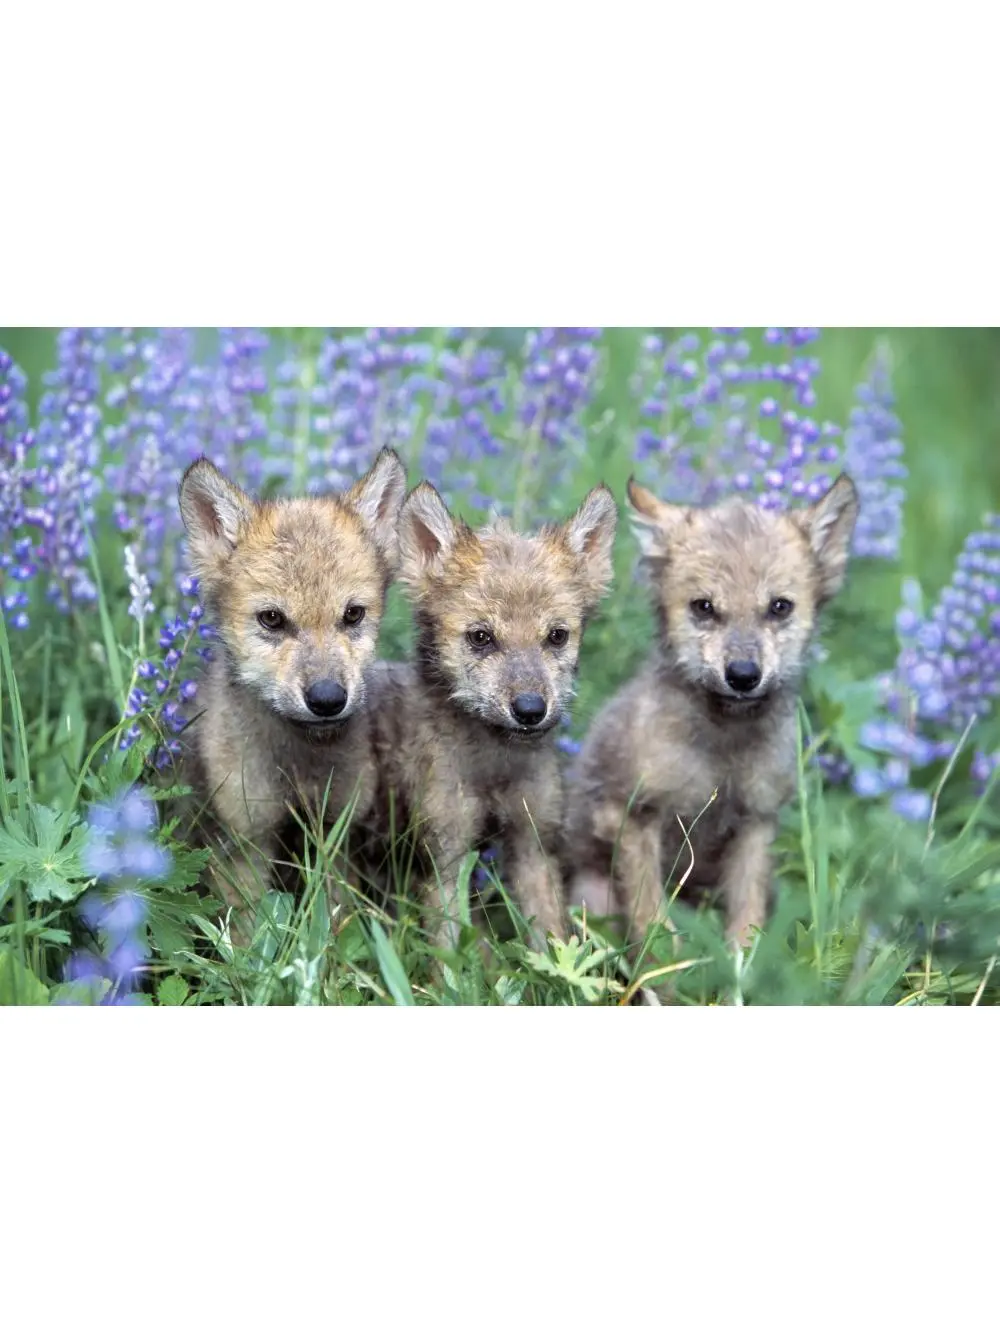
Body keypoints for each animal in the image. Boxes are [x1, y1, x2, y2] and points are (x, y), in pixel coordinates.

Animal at [176, 447, 407, 931]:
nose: (327, 699)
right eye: (272, 619)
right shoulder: (248, 840)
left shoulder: (334, 833)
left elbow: (334, 925)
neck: (300, 767)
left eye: (353, 614)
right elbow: (249, 934)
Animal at [363, 480, 618, 950]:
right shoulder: (444, 859)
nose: (531, 710)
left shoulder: (534, 846)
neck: (494, 767)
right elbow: (450, 953)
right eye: (481, 637)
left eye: (557, 636)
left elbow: (551, 942)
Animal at [564, 473, 859, 948]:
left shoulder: (757, 825)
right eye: (704, 607)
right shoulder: (631, 818)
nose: (742, 675)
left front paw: (740, 966)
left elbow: (746, 926)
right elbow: (655, 930)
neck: (724, 753)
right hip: (592, 898)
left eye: (779, 607)